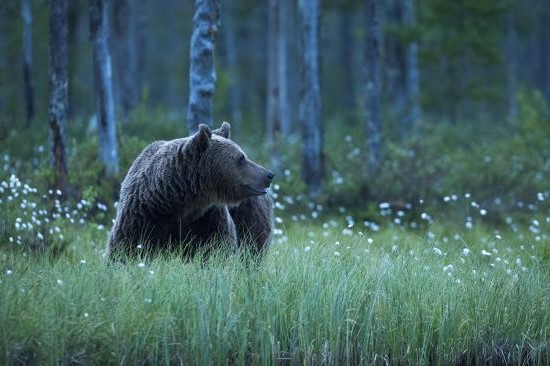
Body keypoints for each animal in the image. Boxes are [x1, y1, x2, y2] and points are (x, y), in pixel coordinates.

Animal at [109, 122, 276, 258]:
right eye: (241, 158)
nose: (269, 174)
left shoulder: (208, 217)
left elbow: (219, 248)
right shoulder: (143, 215)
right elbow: (125, 247)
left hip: (249, 216)